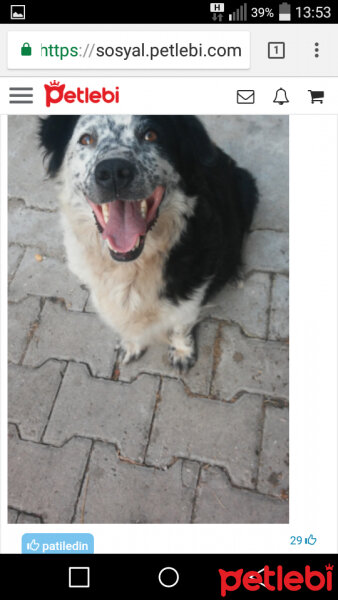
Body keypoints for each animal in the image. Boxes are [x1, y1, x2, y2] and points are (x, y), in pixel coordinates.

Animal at [39, 116, 256, 370]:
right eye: (86, 139)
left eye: (150, 135)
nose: (113, 171)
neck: (132, 265)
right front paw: (132, 344)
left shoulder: (192, 293)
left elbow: (181, 326)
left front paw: (182, 351)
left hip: (247, 188)